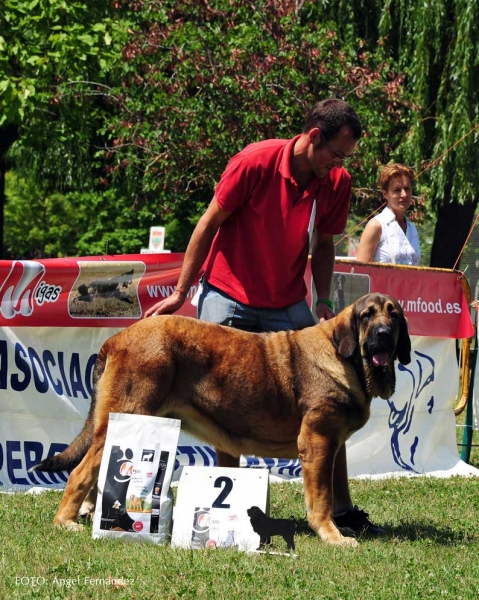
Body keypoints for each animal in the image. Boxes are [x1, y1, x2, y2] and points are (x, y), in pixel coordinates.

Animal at [36, 292, 412, 548]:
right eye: (367, 316)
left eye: (393, 315)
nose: (383, 333)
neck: (347, 359)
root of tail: (117, 338)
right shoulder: (318, 442)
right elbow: (321, 498)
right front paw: (332, 536)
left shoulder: (331, 445)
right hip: (128, 413)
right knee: (81, 472)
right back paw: (65, 521)